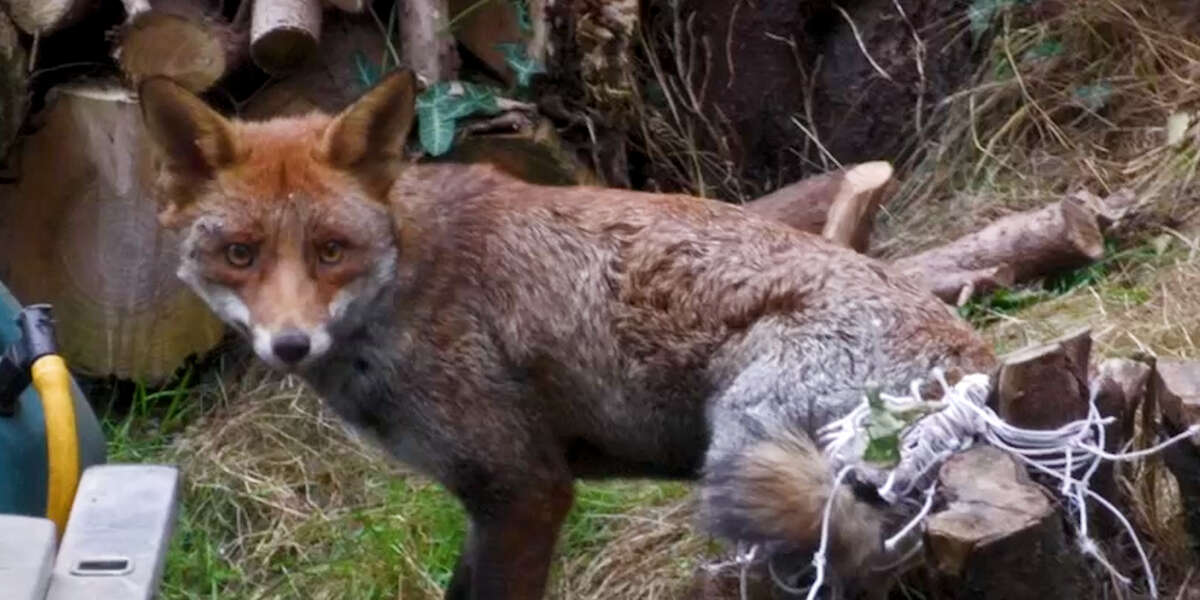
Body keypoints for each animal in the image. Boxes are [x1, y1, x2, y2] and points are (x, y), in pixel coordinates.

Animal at [138, 69, 998, 599]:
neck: (406, 284)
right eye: (240, 254)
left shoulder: (525, 488)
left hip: (746, 446)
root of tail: (982, 368)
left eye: (330, 251)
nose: (289, 345)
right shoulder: (488, 500)